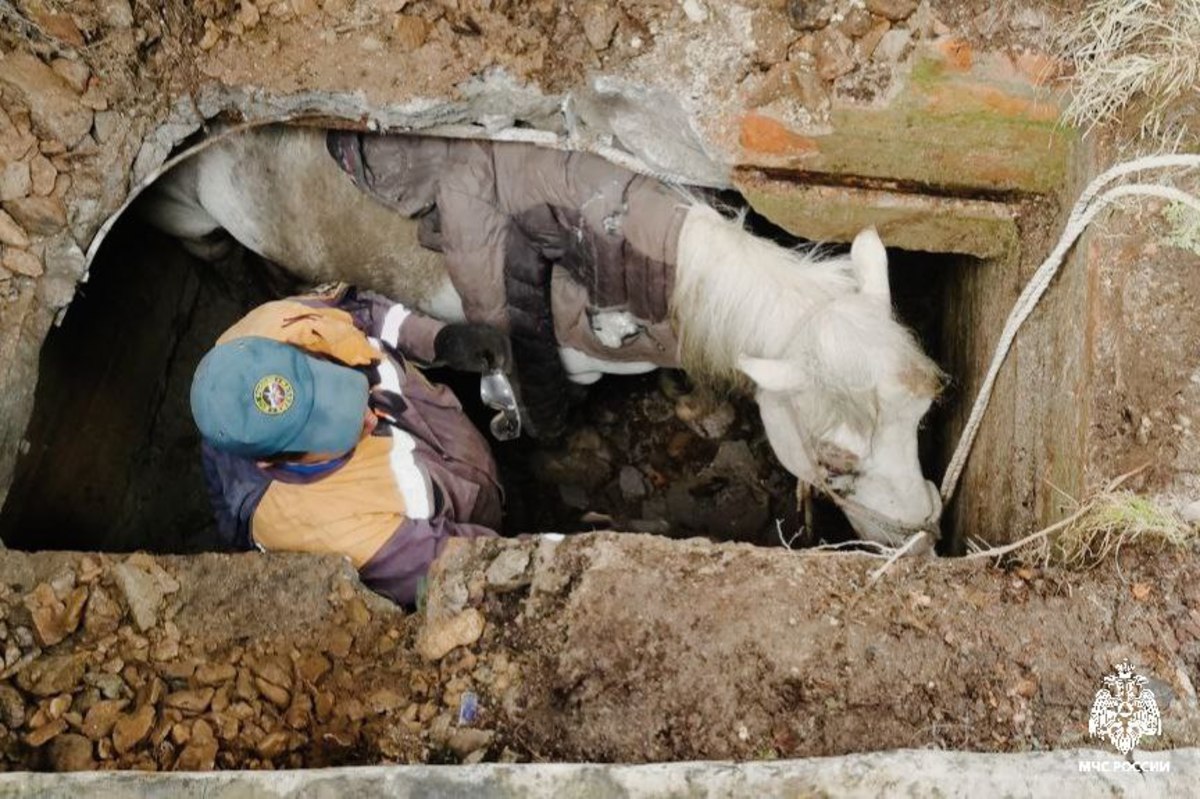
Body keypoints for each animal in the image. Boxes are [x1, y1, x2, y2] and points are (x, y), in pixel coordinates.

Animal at [142, 125, 945, 547]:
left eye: (925, 415)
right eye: (835, 461)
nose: (920, 538)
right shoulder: (572, 365)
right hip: (185, 212)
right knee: (207, 247)